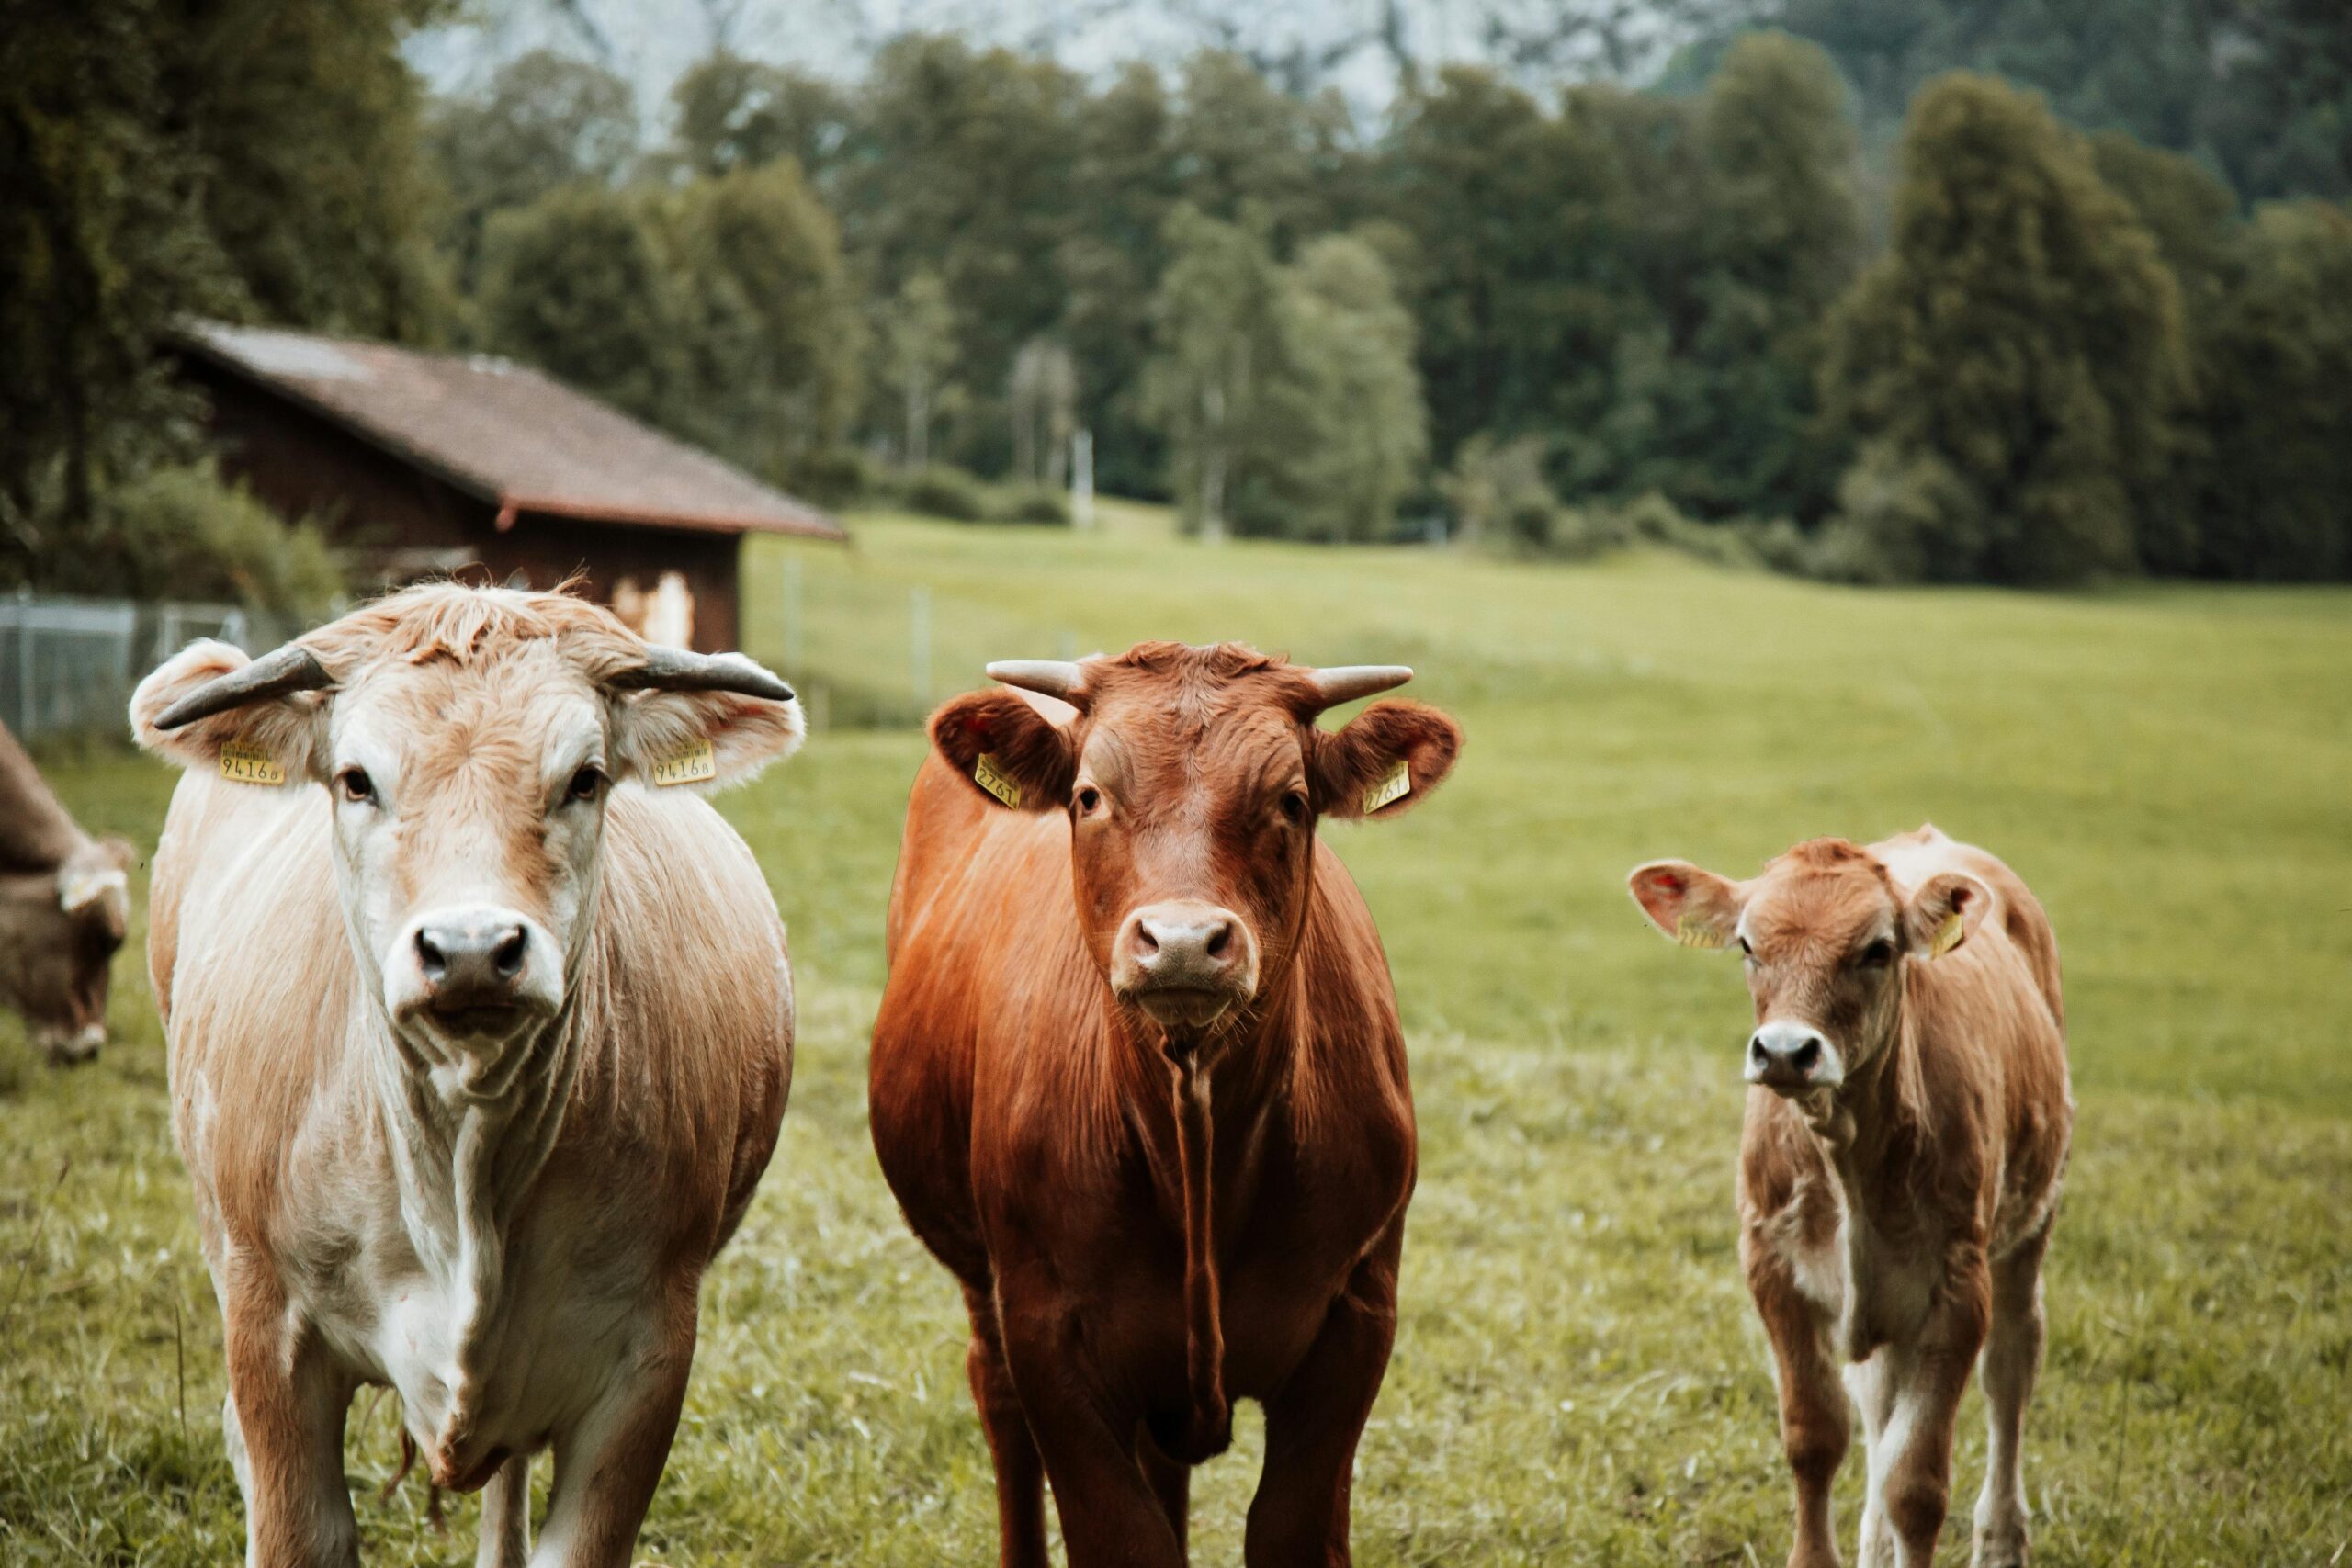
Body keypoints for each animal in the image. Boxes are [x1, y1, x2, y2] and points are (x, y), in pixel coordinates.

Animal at [875, 644, 1458, 1561]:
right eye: (1089, 796)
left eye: (1291, 800)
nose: (1182, 942)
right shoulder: (1047, 1334)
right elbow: (1122, 1532)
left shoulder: (1360, 1314)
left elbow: (1291, 1525)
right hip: (981, 1279)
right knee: (995, 1397)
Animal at [1627, 822, 2069, 1568]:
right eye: (1748, 945)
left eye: (1877, 950)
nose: (1784, 1051)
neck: (1848, 1158)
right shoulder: (1772, 1267)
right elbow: (1817, 1436)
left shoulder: (1958, 1288)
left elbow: (1916, 1483)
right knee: (1877, 1403)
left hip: (2030, 1224)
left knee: (2010, 1369)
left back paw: (2002, 1538)